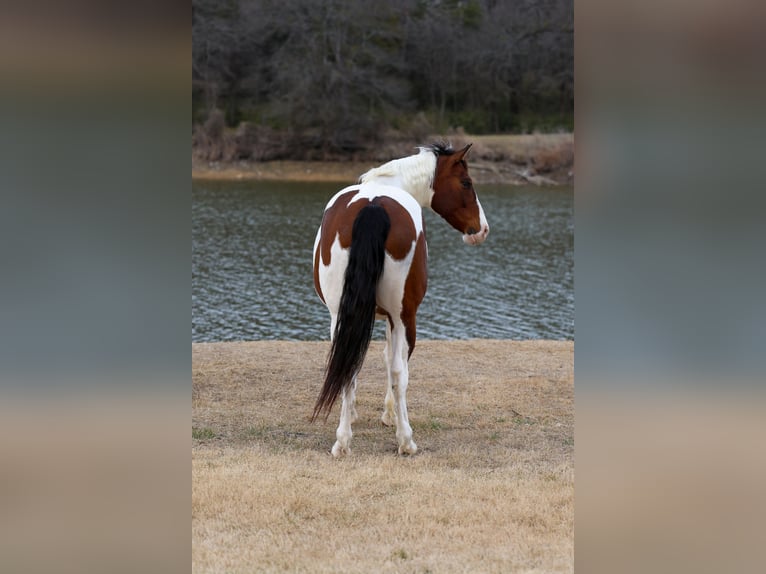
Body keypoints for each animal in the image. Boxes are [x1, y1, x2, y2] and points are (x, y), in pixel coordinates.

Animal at [311, 143, 489, 456]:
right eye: (467, 183)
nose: (482, 229)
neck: (390, 183)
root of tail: (373, 206)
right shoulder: (396, 319)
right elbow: (391, 363)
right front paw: (390, 415)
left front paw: (354, 414)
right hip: (405, 317)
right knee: (398, 371)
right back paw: (406, 440)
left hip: (339, 315)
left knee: (345, 365)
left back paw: (342, 441)